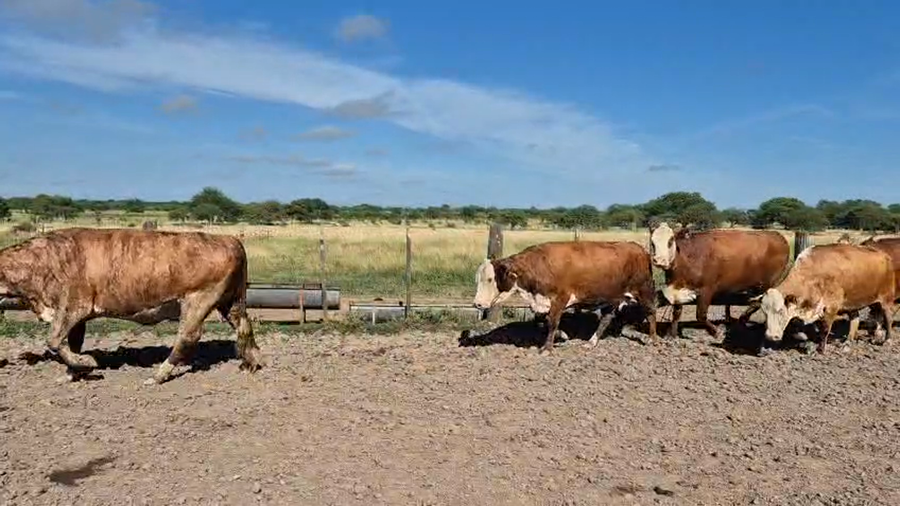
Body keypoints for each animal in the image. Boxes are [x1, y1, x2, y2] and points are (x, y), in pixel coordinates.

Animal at [0, 227, 263, 385]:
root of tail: (228, 239)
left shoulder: (74, 305)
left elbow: (53, 340)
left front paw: (87, 363)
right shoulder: (78, 315)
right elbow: (73, 342)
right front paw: (73, 372)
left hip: (198, 299)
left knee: (188, 336)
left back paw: (158, 376)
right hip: (230, 301)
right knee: (244, 327)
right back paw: (251, 363)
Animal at [472, 240, 658, 353]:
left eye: (490, 279)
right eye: (478, 279)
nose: (478, 304)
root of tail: (639, 248)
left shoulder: (560, 298)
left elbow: (552, 322)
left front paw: (547, 348)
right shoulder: (541, 302)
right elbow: (541, 320)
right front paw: (562, 335)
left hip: (644, 290)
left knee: (651, 312)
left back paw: (653, 340)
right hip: (612, 298)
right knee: (606, 319)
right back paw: (591, 342)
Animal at [648, 222, 791, 339]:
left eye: (671, 240)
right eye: (652, 242)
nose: (659, 260)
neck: (687, 258)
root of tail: (777, 235)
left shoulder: (706, 289)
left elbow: (701, 315)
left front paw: (715, 332)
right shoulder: (678, 288)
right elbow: (677, 312)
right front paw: (671, 334)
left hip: (769, 282)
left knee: (760, 302)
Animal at [755, 243, 895, 353]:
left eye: (780, 311)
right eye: (764, 312)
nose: (770, 336)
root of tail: (885, 256)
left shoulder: (831, 307)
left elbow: (825, 328)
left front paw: (820, 349)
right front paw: (803, 337)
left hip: (886, 300)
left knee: (888, 318)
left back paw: (887, 340)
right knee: (855, 319)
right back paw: (847, 342)